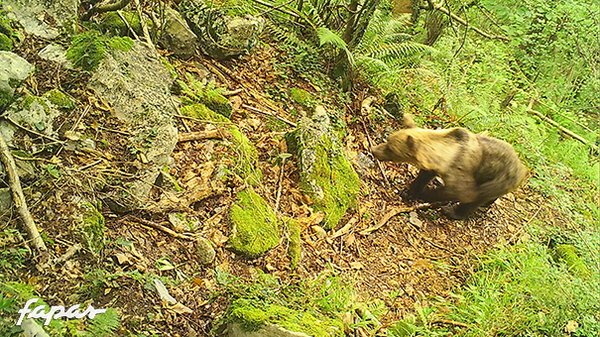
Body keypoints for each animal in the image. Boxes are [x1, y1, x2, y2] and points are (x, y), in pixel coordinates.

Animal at [370, 113, 524, 218]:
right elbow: (423, 177)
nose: (373, 150)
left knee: (478, 198)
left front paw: (423, 194)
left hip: (498, 179)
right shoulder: (434, 166)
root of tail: (522, 168)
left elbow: (461, 192)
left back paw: (452, 211)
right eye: (389, 139)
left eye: (391, 149)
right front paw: (409, 191)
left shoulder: (460, 169)